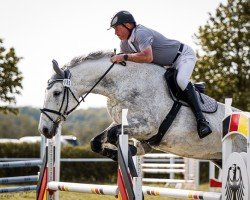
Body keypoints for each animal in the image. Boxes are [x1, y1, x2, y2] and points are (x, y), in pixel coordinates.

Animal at [38, 50, 247, 166]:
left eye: (56, 93)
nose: (44, 130)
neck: (123, 84)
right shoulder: (122, 121)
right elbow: (96, 142)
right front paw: (127, 151)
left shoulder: (148, 127)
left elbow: (113, 134)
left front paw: (129, 150)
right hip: (220, 158)